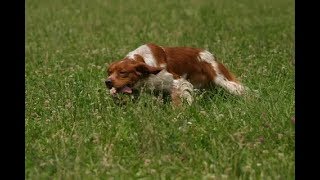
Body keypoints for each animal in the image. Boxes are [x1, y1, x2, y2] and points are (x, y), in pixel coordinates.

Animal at [106, 43, 246, 105]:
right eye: (109, 72)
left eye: (123, 72)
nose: (107, 82)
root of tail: (209, 54)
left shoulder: (177, 82)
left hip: (222, 79)